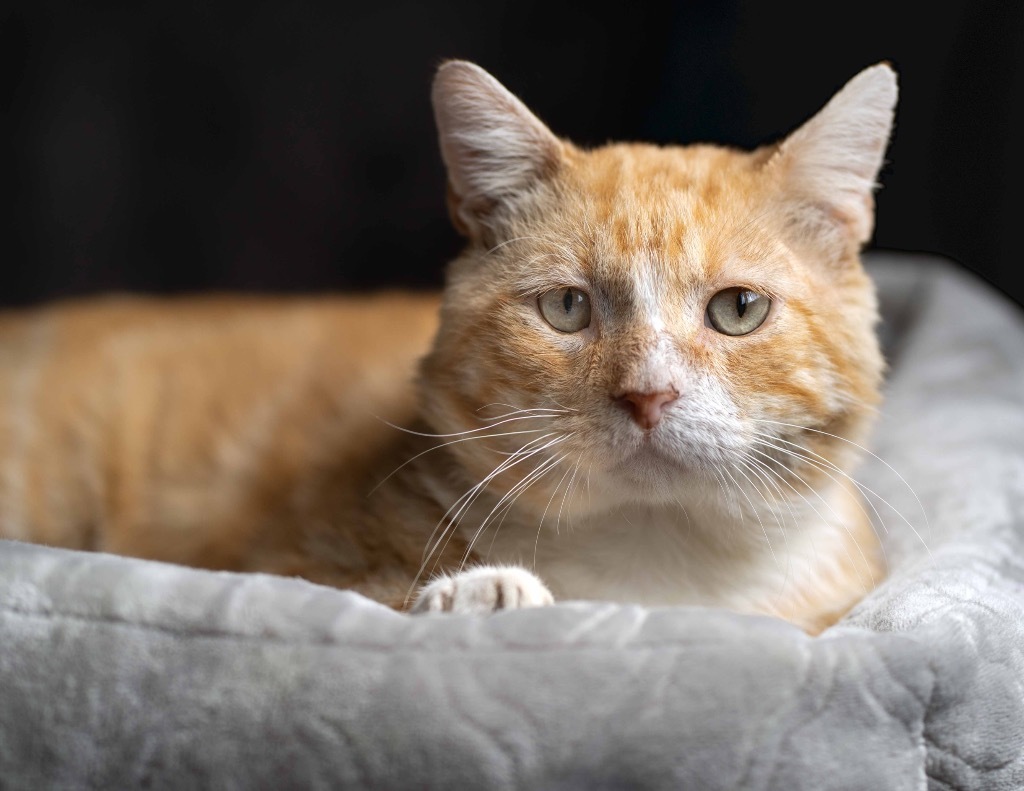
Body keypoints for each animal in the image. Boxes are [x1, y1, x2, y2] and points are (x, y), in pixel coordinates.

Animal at [0, 58, 897, 635]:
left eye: (738, 309)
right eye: (567, 308)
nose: (648, 394)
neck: (658, 565)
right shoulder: (282, 568)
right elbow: (368, 595)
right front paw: (483, 592)